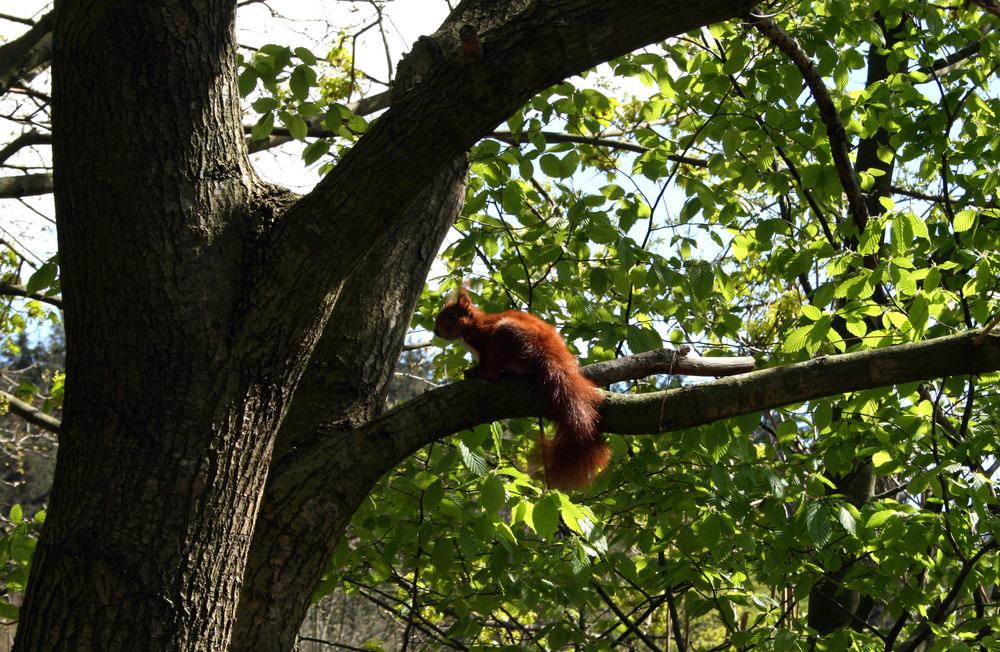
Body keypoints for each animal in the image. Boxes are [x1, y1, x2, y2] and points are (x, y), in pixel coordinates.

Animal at [436, 288, 608, 492]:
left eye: (452, 316)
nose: (436, 331)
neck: (472, 326)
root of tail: (549, 354)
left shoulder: (485, 344)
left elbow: (486, 362)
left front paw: (475, 369)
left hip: (505, 337)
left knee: (493, 373)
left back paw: (479, 373)